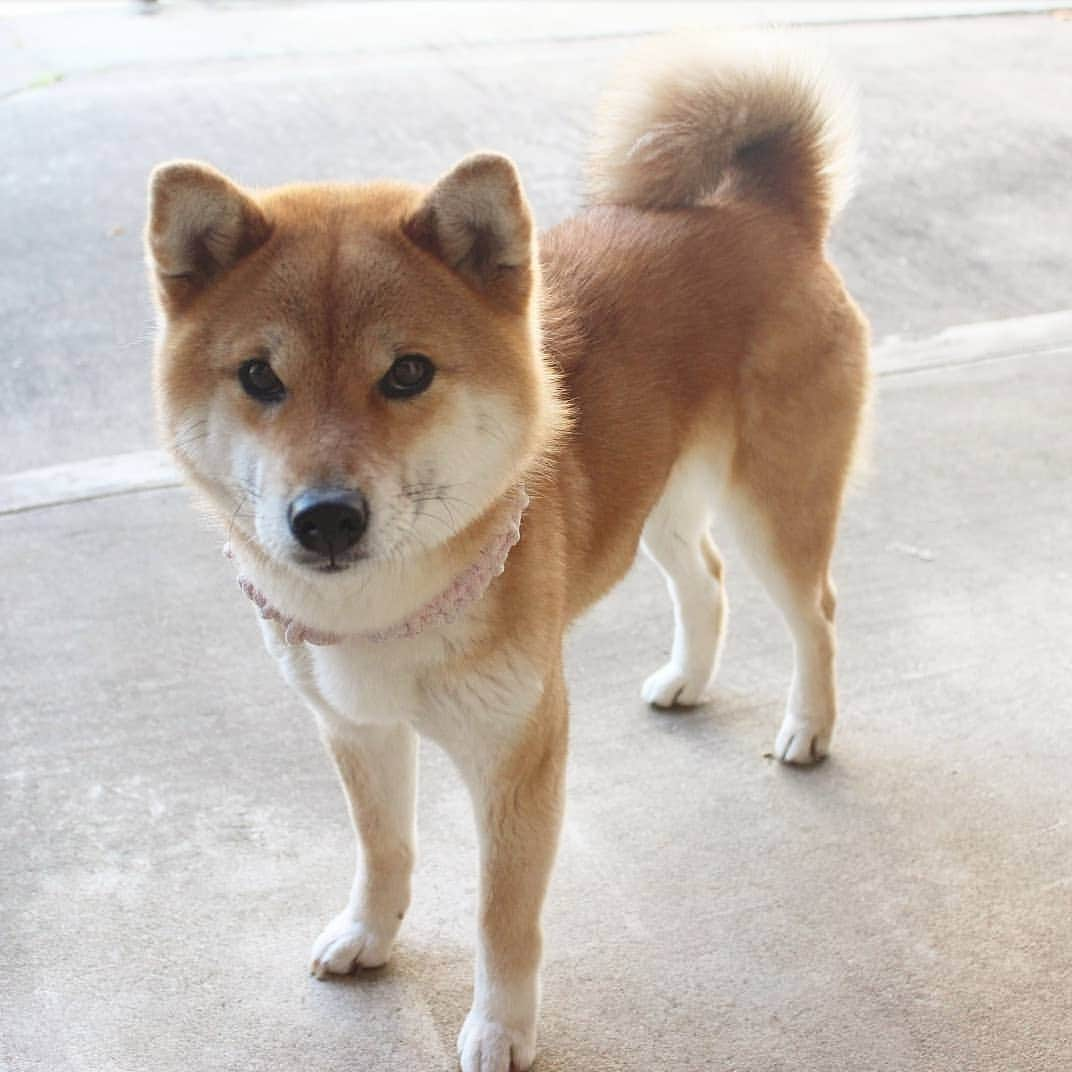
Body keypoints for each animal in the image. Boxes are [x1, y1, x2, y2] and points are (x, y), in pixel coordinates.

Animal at [146, 31, 870, 1072]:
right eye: (258, 377)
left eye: (409, 372)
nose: (325, 518)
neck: (381, 615)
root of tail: (769, 212)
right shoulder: (356, 729)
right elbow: (383, 848)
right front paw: (370, 932)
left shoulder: (520, 754)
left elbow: (502, 915)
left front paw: (499, 1027)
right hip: (656, 503)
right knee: (707, 582)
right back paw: (688, 680)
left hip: (772, 503)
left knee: (814, 614)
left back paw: (809, 727)